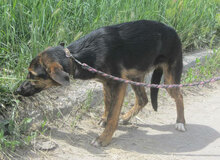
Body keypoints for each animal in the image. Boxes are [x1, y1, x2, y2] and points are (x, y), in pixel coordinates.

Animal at [15, 20, 186, 148]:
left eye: (33, 75)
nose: (17, 91)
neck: (76, 57)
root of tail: (173, 30)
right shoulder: (106, 83)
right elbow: (107, 104)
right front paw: (104, 120)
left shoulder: (118, 84)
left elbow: (112, 115)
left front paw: (103, 138)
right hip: (135, 76)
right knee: (143, 99)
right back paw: (127, 117)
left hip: (169, 78)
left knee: (179, 96)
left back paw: (180, 122)